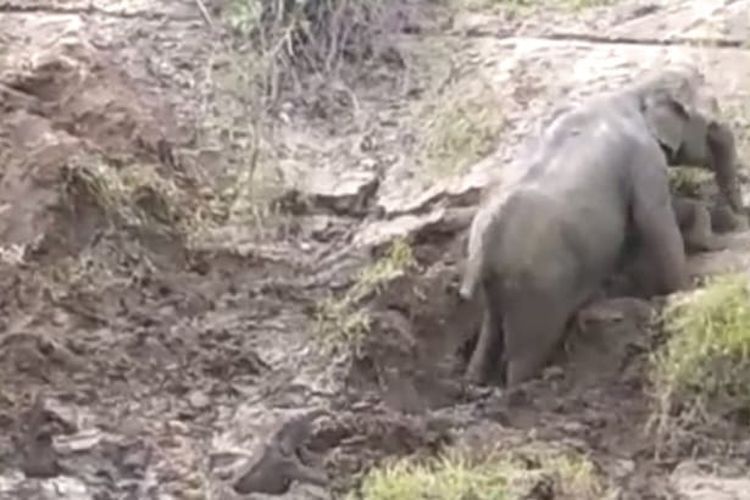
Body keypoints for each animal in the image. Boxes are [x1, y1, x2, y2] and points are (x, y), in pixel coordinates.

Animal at [462, 65, 748, 386]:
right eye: (712, 124)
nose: (739, 217)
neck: (633, 91)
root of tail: (484, 249)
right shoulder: (643, 156)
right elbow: (653, 218)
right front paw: (683, 293)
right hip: (538, 287)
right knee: (527, 349)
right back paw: (524, 385)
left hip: (500, 287)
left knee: (490, 330)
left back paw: (475, 383)